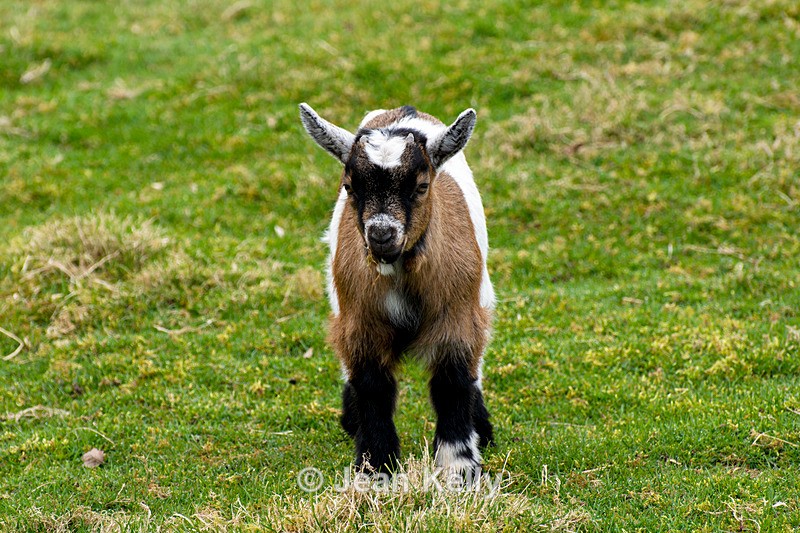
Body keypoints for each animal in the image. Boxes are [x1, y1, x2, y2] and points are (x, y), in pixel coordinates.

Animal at [299, 103, 495, 475]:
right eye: (350, 186)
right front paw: (375, 468)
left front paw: (458, 469)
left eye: (421, 185)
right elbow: (373, 387)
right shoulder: (360, 323)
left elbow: (453, 384)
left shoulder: (458, 318)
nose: (381, 234)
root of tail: (403, 110)